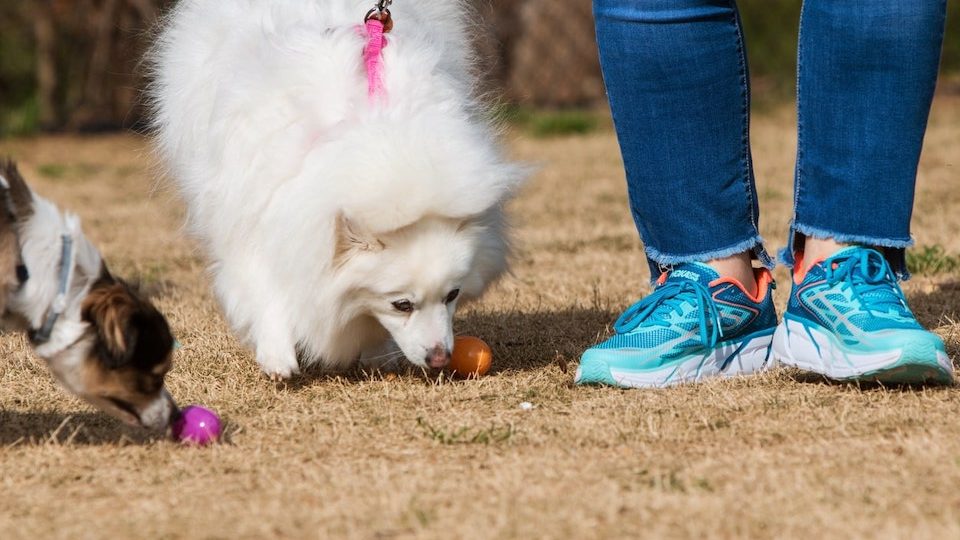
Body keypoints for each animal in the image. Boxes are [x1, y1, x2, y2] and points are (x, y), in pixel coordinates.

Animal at [150, 0, 520, 378]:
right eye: (401, 304)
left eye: (452, 295)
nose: (440, 358)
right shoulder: (255, 211)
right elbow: (263, 285)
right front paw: (277, 356)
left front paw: (377, 352)